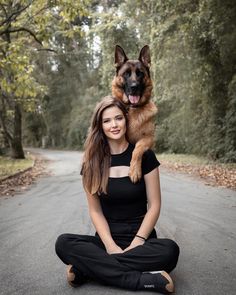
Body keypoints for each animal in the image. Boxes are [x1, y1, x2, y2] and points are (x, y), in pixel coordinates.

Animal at [112, 44, 158, 183]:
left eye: (140, 73)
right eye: (126, 74)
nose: (134, 87)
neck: (132, 109)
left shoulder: (149, 138)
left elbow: (137, 149)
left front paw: (134, 171)